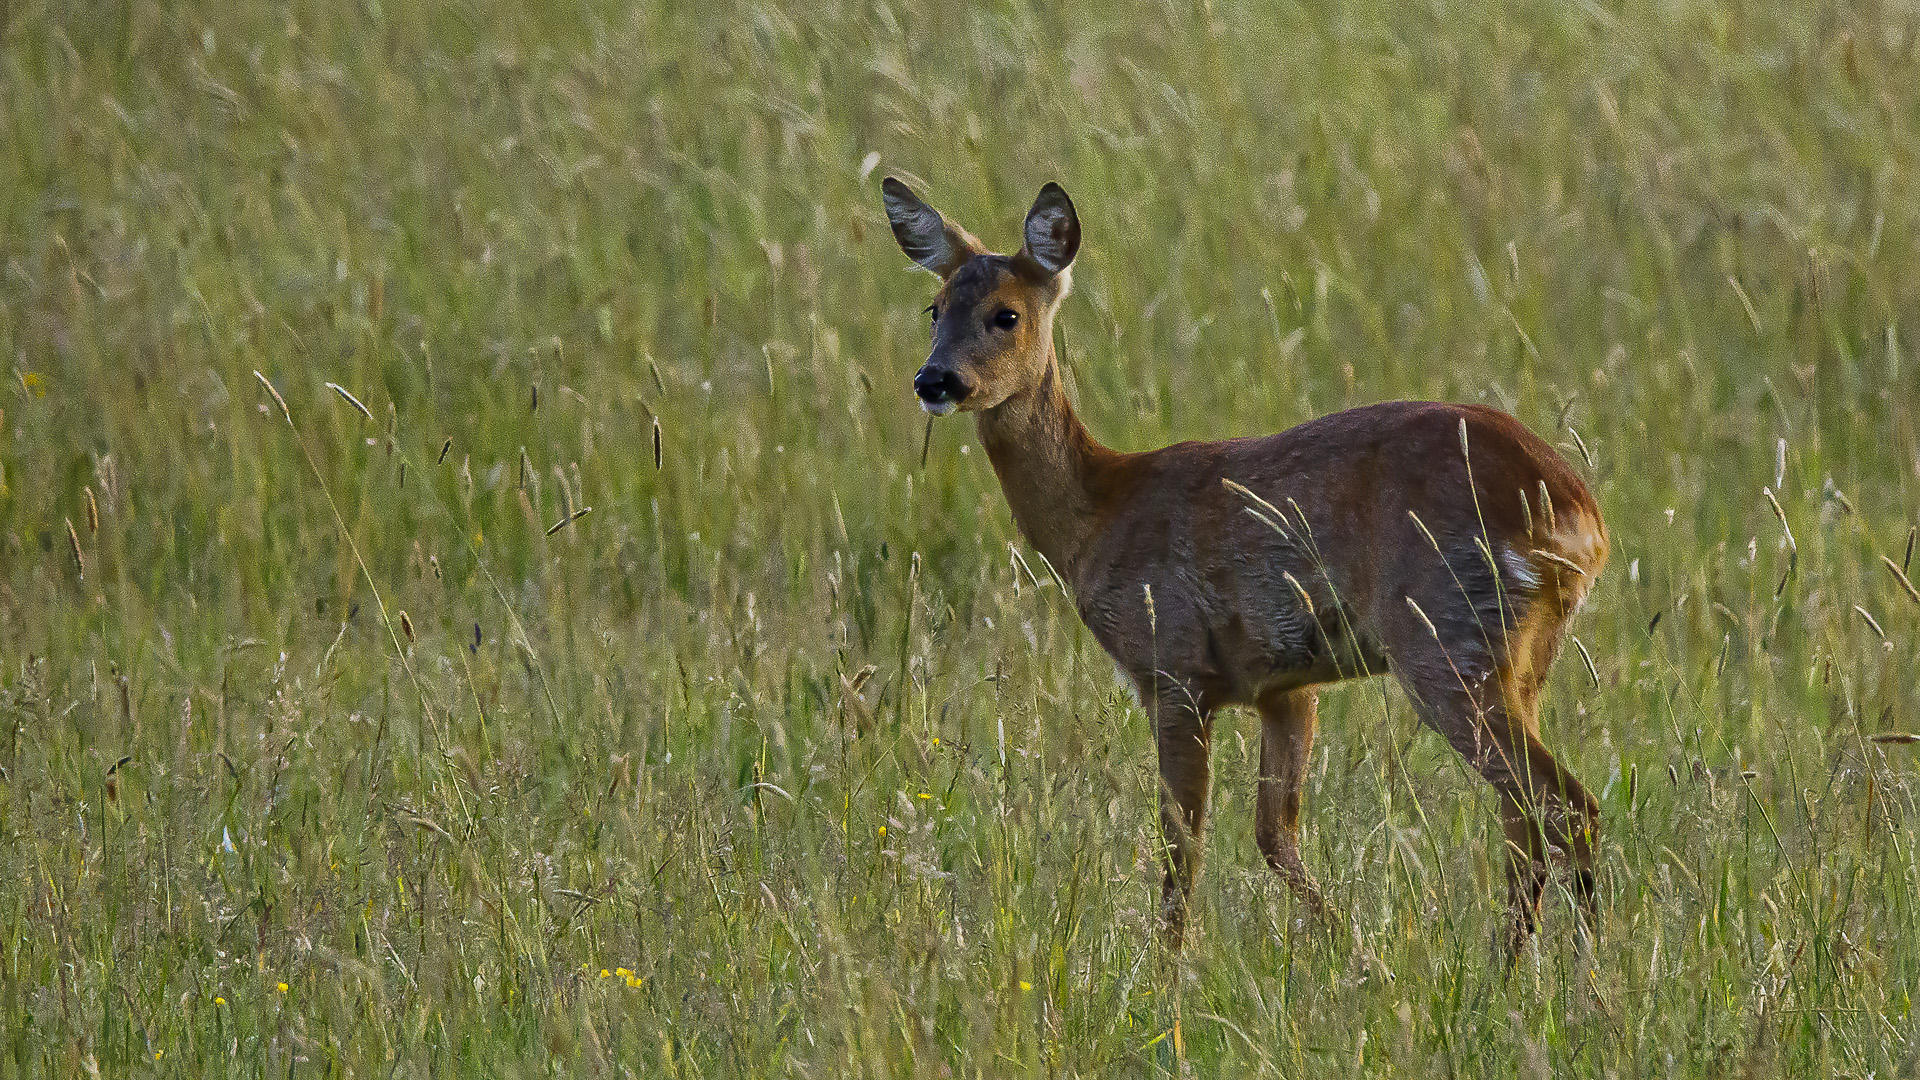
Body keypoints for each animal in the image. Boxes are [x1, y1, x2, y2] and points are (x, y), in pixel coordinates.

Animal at [879, 176, 1605, 949]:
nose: (935, 380)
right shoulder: (1282, 686)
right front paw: (1348, 948)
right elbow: (1273, 835)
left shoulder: (1173, 666)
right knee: (1525, 816)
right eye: (935, 307)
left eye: (1006, 314)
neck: (1100, 514)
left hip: (1445, 635)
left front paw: (1167, 969)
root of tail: (1578, 516)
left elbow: (1182, 850)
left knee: (1562, 804)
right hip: (1519, 656)